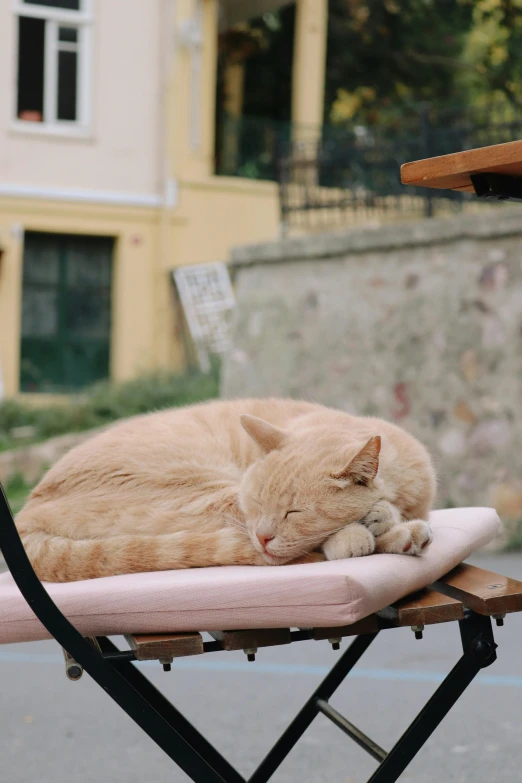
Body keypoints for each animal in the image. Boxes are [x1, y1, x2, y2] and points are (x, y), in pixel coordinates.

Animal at [15, 402, 434, 580]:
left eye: (293, 512)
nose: (263, 536)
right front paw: (374, 525)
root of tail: (25, 512)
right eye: (257, 504)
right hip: (203, 492)